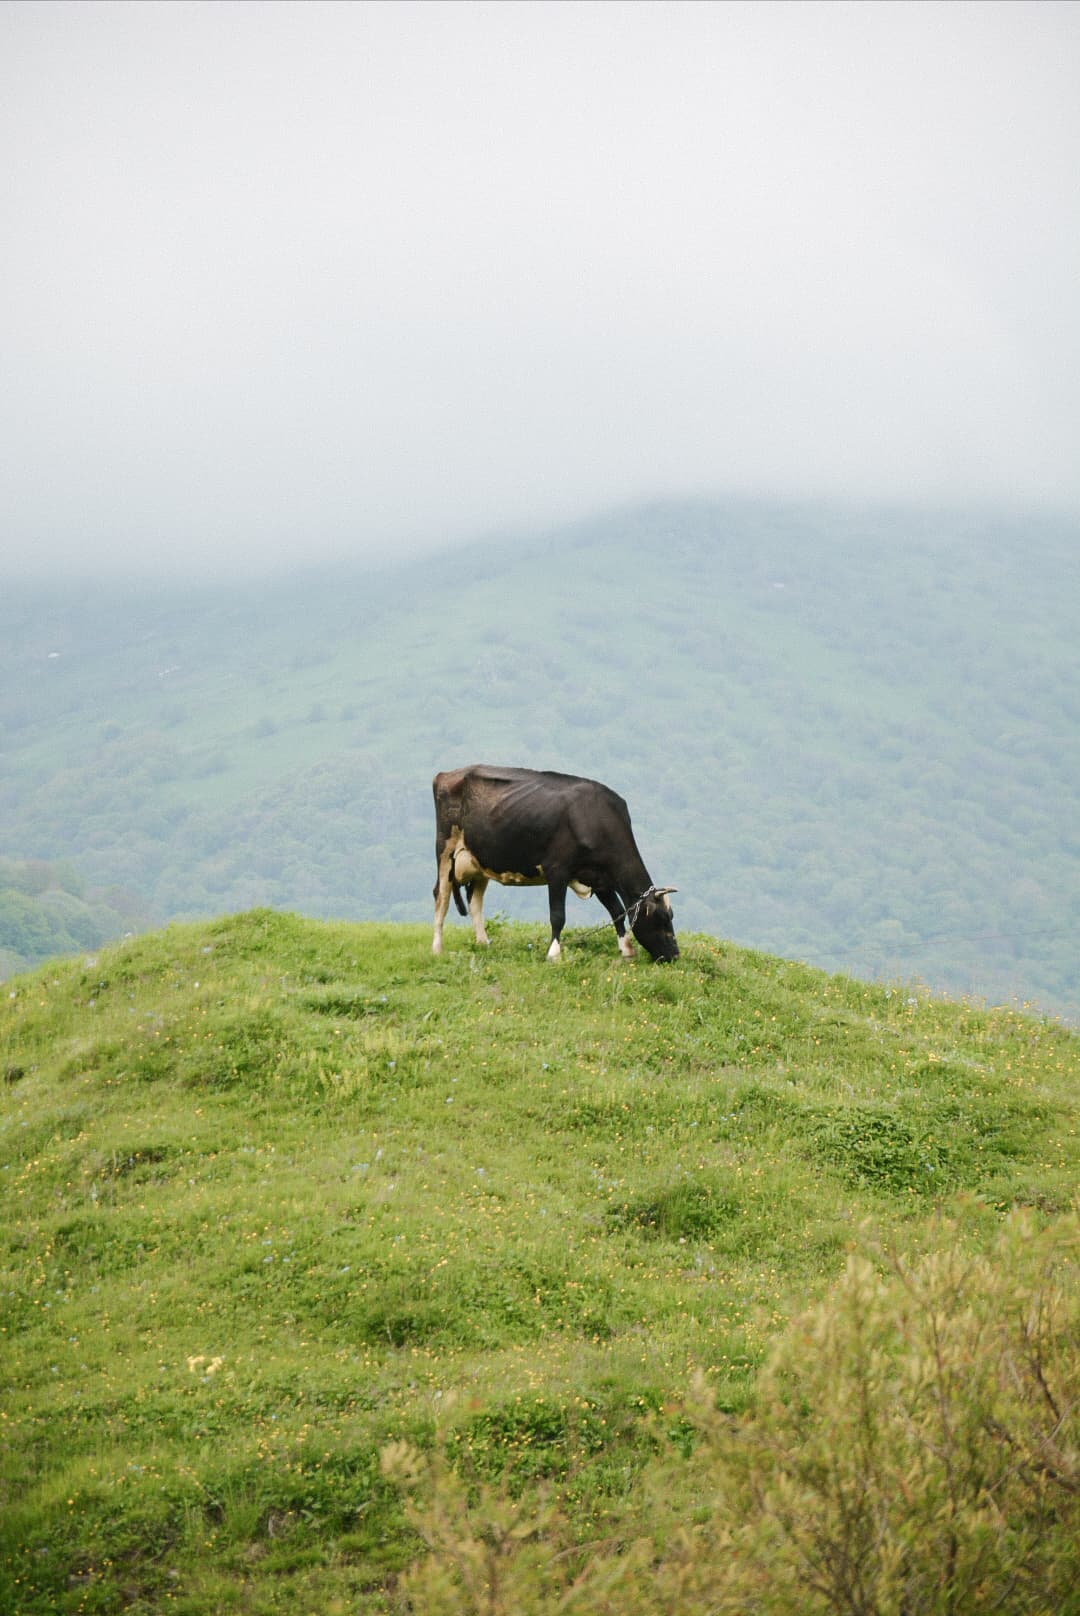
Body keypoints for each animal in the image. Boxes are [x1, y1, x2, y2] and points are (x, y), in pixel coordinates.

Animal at [431, 765, 678, 962]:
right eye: (662, 918)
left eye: (671, 916)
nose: (675, 955)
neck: (596, 819)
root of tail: (447, 774)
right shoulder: (557, 870)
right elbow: (558, 915)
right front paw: (553, 954)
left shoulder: (598, 876)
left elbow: (616, 910)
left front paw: (626, 949)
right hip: (445, 849)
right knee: (441, 896)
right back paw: (437, 948)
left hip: (481, 859)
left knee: (475, 900)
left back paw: (483, 943)